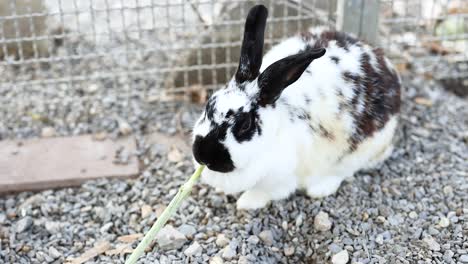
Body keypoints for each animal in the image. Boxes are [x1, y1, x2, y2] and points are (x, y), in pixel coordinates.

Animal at [192, 4, 400, 210]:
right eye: (208, 106)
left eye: (245, 125)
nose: (203, 155)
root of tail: (388, 68)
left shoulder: (280, 180)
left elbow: (262, 192)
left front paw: (246, 203)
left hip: (358, 153)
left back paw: (321, 189)